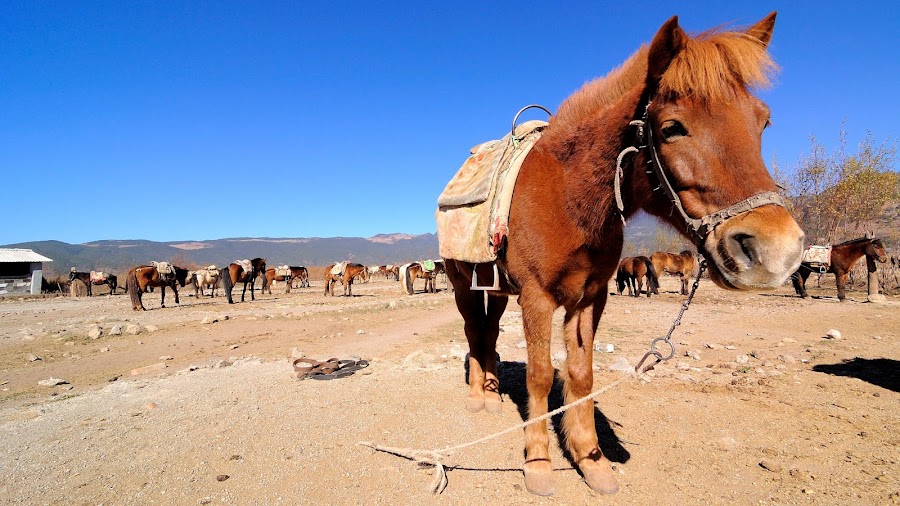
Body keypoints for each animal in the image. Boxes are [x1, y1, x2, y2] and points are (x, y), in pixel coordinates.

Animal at [442, 13, 800, 496]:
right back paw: (478, 397)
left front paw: (591, 460)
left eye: (762, 123)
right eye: (671, 127)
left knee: (489, 333)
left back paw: (494, 394)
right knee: (472, 332)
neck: (568, 198)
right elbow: (540, 376)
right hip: (462, 284)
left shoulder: (590, 298)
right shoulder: (536, 298)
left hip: (496, 290)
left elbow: (581, 376)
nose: (776, 249)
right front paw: (538, 464)